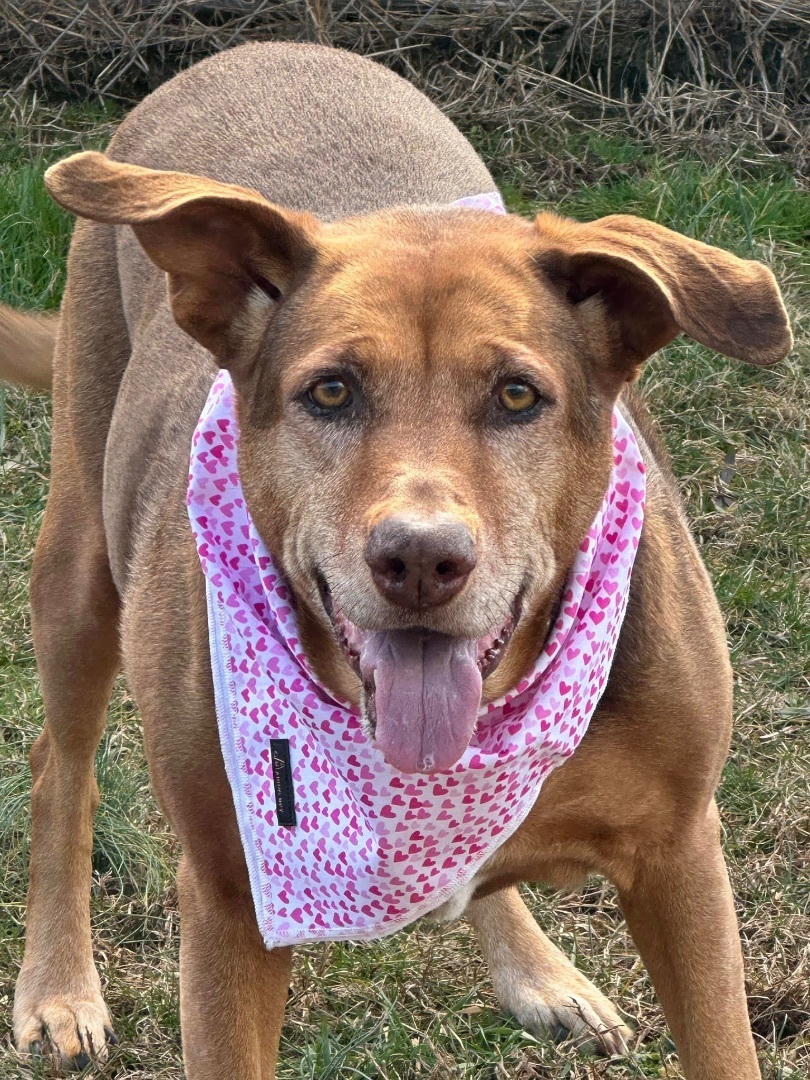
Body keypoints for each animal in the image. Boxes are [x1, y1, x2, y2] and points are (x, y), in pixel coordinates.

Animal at [4, 38, 794, 1075]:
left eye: (517, 395)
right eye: (332, 391)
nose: (421, 560)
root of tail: (260, 45)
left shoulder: (680, 859)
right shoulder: (228, 902)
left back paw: (537, 969)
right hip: (79, 558)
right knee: (61, 763)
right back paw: (58, 985)